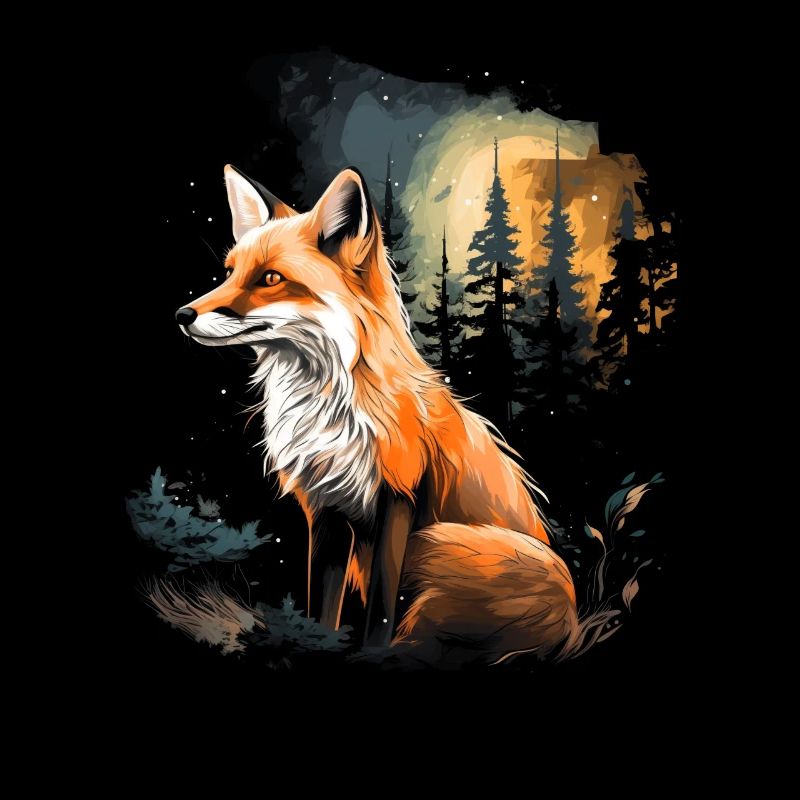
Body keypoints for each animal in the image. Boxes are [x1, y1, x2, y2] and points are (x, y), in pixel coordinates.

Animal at [164, 164, 613, 667]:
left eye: (271, 277)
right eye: (228, 273)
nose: (182, 314)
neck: (329, 409)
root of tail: (573, 625)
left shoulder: (397, 498)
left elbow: (381, 604)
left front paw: (370, 653)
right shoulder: (326, 509)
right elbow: (322, 602)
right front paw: (317, 645)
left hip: (434, 541)